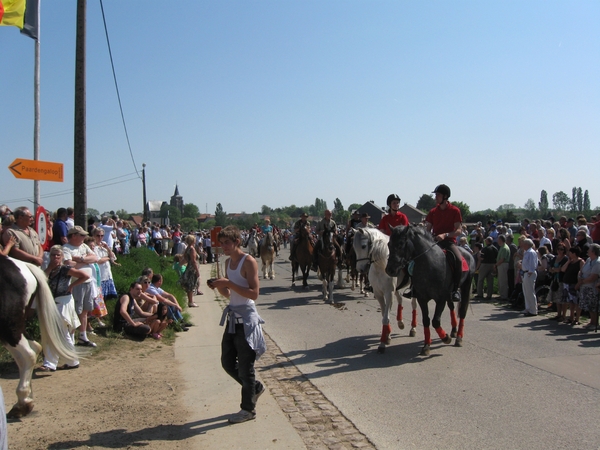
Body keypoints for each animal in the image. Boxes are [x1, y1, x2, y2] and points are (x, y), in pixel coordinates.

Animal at [386, 224, 476, 356]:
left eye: (401, 244)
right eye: (389, 244)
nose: (390, 270)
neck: (431, 264)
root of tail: (468, 253)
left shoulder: (440, 299)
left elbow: (435, 321)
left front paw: (446, 338)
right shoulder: (422, 298)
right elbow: (426, 320)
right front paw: (426, 346)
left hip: (466, 287)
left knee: (463, 311)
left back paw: (459, 338)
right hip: (450, 294)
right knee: (452, 307)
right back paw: (454, 331)